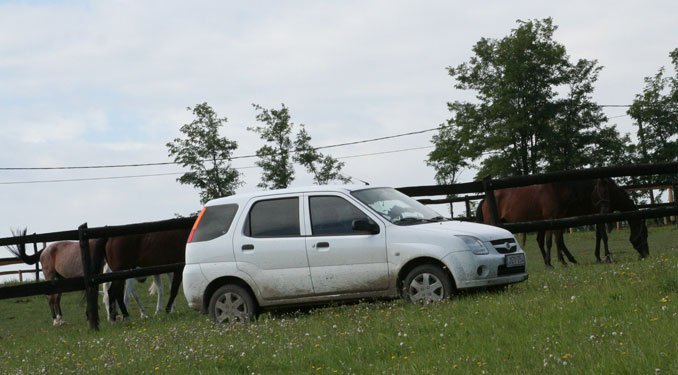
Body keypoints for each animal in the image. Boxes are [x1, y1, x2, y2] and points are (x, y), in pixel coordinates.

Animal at [476, 179, 652, 268]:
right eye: (644, 234)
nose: (646, 254)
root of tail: (484, 200)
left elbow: (559, 240)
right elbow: (602, 235)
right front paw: (606, 257)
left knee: (544, 240)